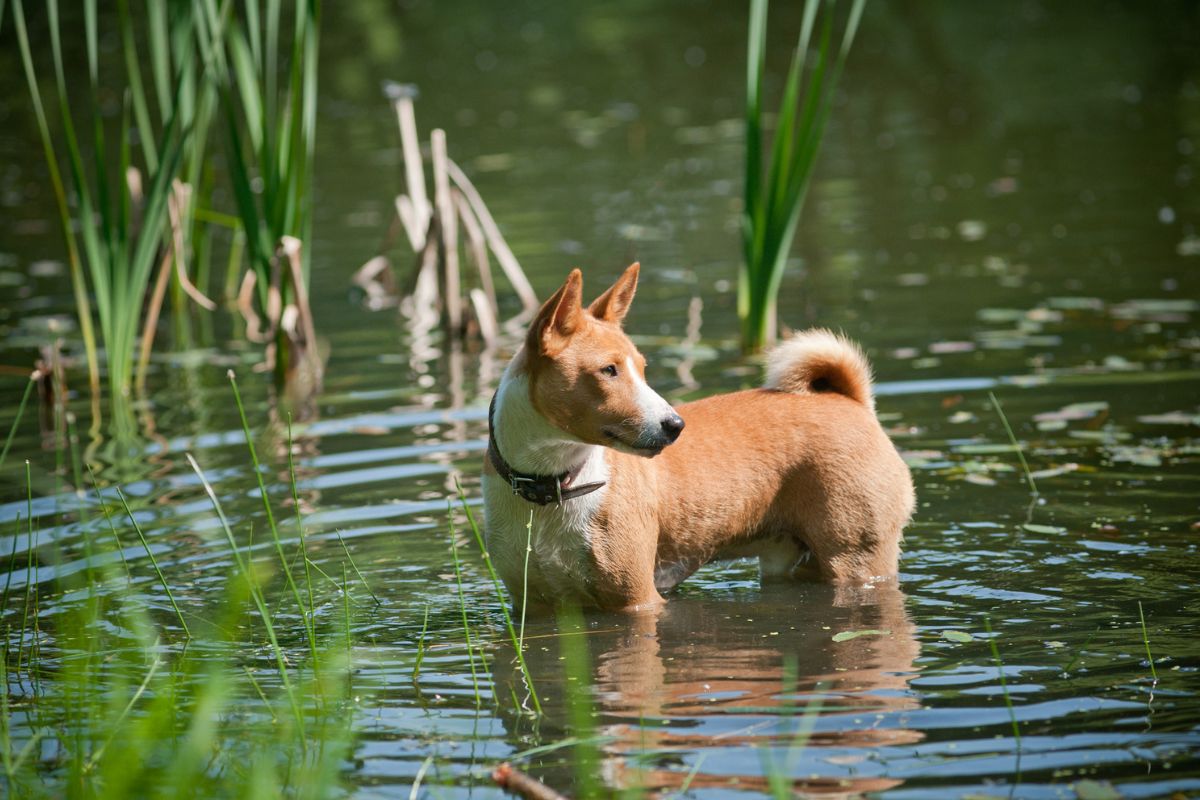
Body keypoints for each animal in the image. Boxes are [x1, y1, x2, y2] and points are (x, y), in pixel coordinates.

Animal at [482, 263, 912, 614]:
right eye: (608, 370)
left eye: (642, 368)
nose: (675, 424)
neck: (550, 486)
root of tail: (851, 401)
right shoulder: (535, 605)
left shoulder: (637, 600)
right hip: (790, 558)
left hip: (856, 559)